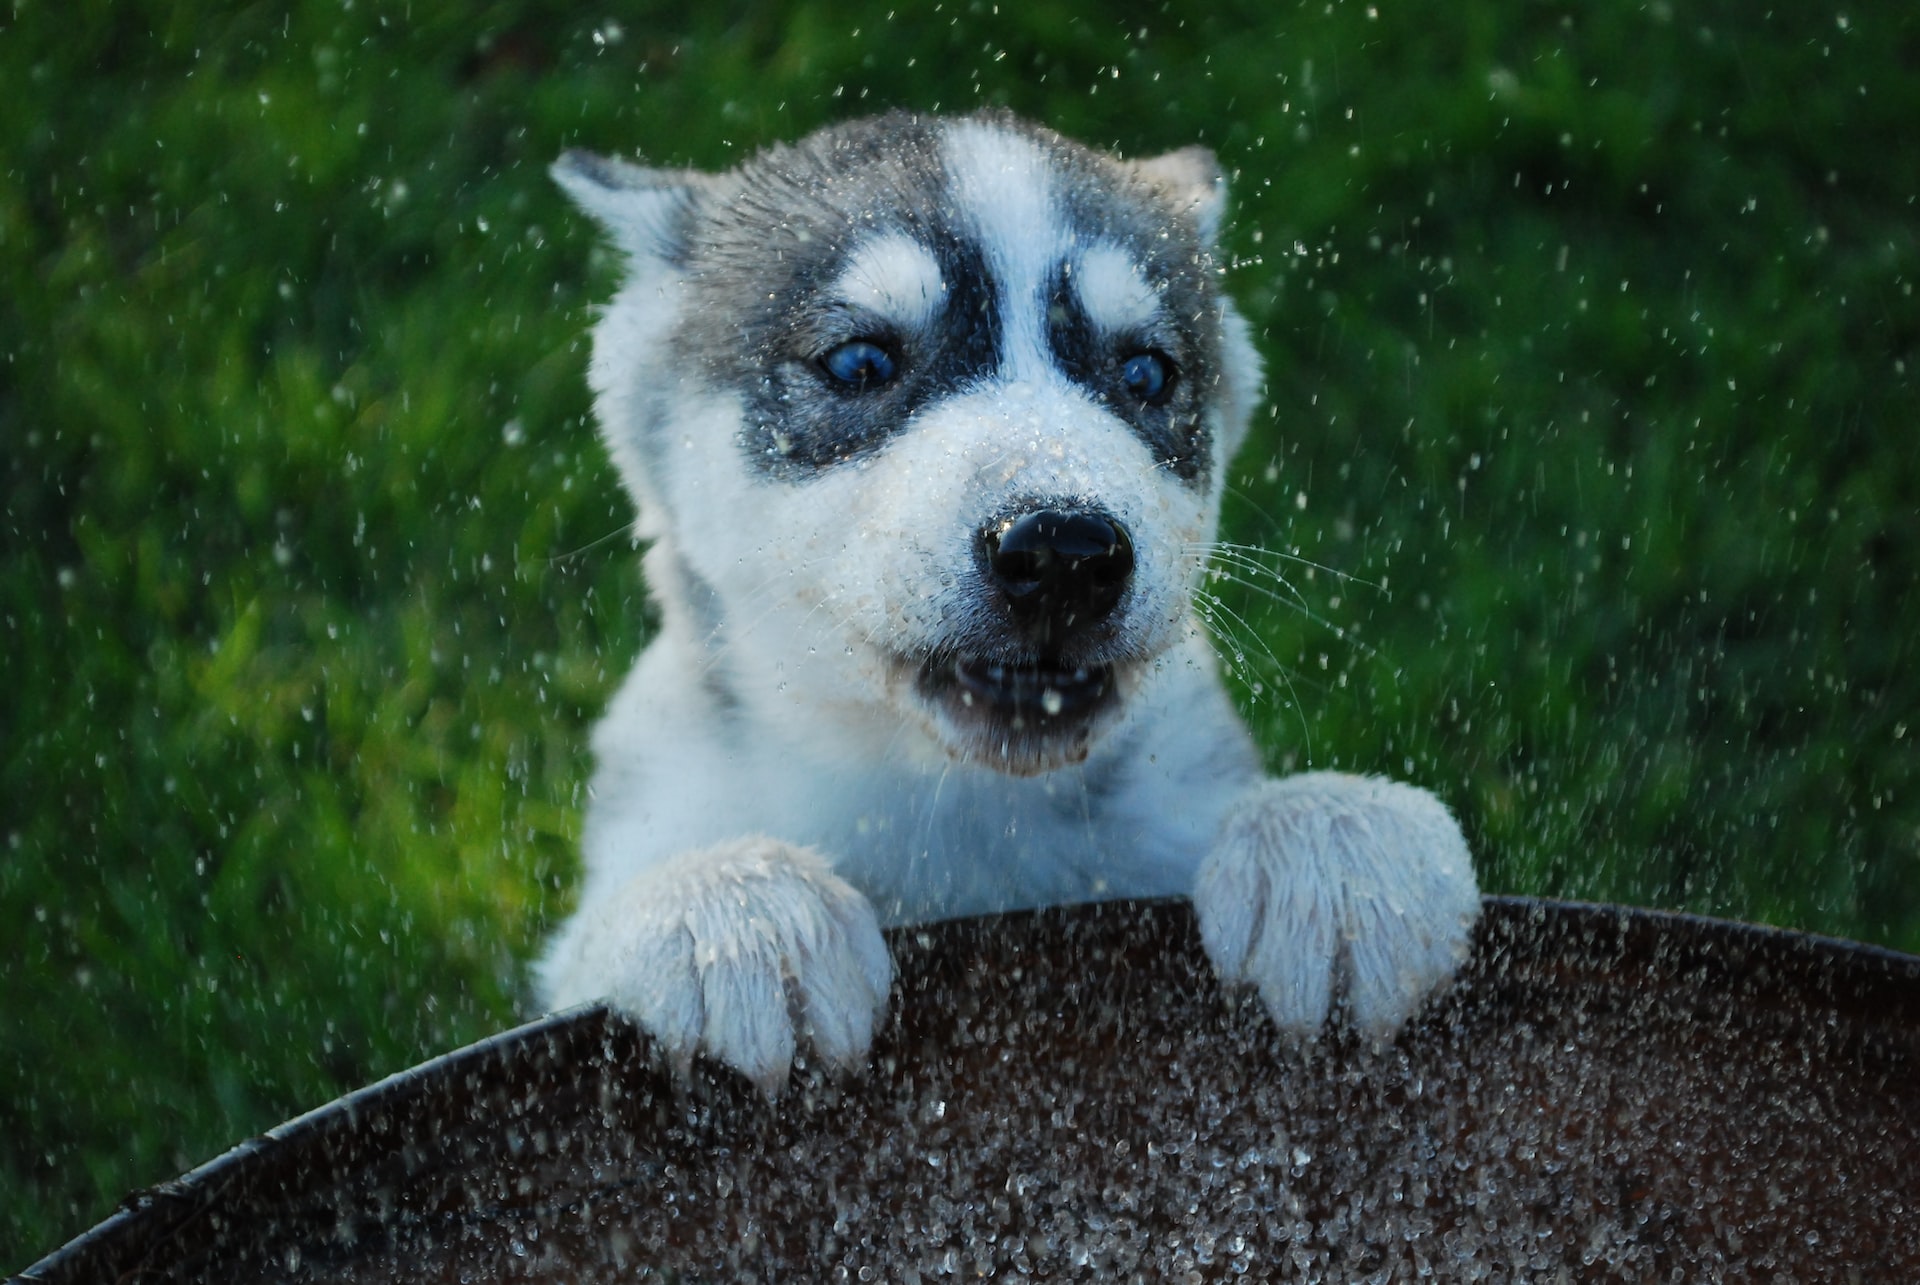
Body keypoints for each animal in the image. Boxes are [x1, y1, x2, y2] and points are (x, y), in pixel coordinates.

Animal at [541, 112, 1482, 1091]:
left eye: (1146, 374)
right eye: (861, 361)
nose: (1064, 550)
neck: (956, 805)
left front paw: (1338, 842)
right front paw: (732, 911)